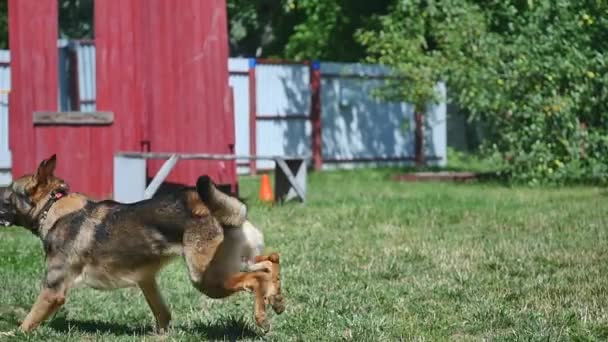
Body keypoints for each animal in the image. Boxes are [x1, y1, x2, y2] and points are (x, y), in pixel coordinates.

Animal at [0, 155, 284, 334]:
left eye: (8, 194)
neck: (53, 207)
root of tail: (226, 212)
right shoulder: (146, 280)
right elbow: (162, 312)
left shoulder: (53, 290)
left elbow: (27, 322)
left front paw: (13, 333)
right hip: (234, 263)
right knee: (270, 261)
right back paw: (277, 298)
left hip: (206, 279)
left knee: (256, 278)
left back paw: (262, 317)